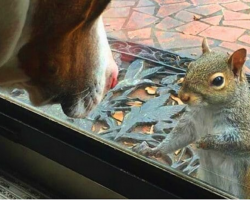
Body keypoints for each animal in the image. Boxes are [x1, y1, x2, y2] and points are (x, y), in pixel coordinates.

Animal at [134, 38, 250, 198]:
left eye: (218, 80)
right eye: (190, 66)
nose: (183, 96)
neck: (209, 109)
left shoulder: (244, 121)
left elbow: (241, 142)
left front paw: (205, 141)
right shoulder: (191, 122)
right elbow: (178, 137)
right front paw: (154, 150)